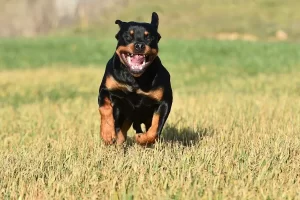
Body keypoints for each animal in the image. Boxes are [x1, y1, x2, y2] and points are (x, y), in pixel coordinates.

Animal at [98, 12, 172, 145]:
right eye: (128, 36)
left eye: (149, 37)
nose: (139, 45)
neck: (135, 78)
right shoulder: (106, 90)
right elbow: (105, 108)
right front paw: (107, 133)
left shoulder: (164, 101)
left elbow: (155, 128)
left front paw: (142, 139)